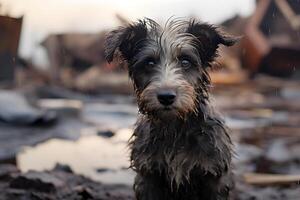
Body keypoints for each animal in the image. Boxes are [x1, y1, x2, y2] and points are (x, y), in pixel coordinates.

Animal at [105, 17, 237, 200]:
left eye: (185, 61)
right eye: (149, 63)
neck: (176, 128)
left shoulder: (214, 174)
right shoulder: (149, 175)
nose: (166, 97)